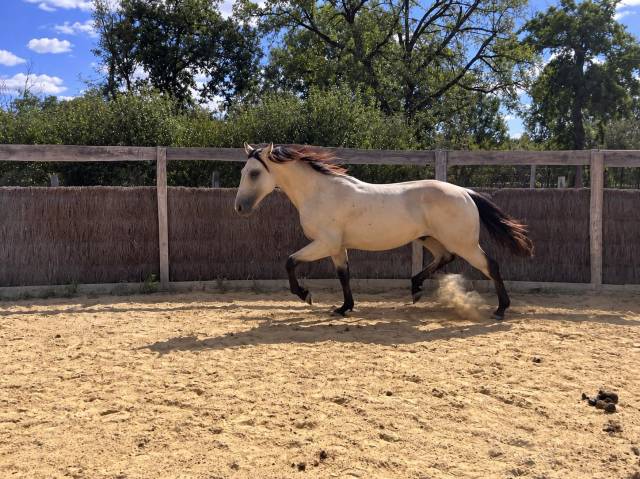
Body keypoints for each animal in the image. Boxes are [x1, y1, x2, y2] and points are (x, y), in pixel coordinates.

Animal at [234, 143, 533, 319]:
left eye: (254, 173)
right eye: (243, 171)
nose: (240, 207)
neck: (320, 192)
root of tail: (465, 192)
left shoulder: (325, 243)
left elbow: (289, 262)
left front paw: (306, 295)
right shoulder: (337, 247)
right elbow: (344, 275)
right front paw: (344, 308)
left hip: (464, 243)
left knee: (490, 265)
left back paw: (500, 309)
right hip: (429, 237)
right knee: (445, 257)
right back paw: (415, 288)